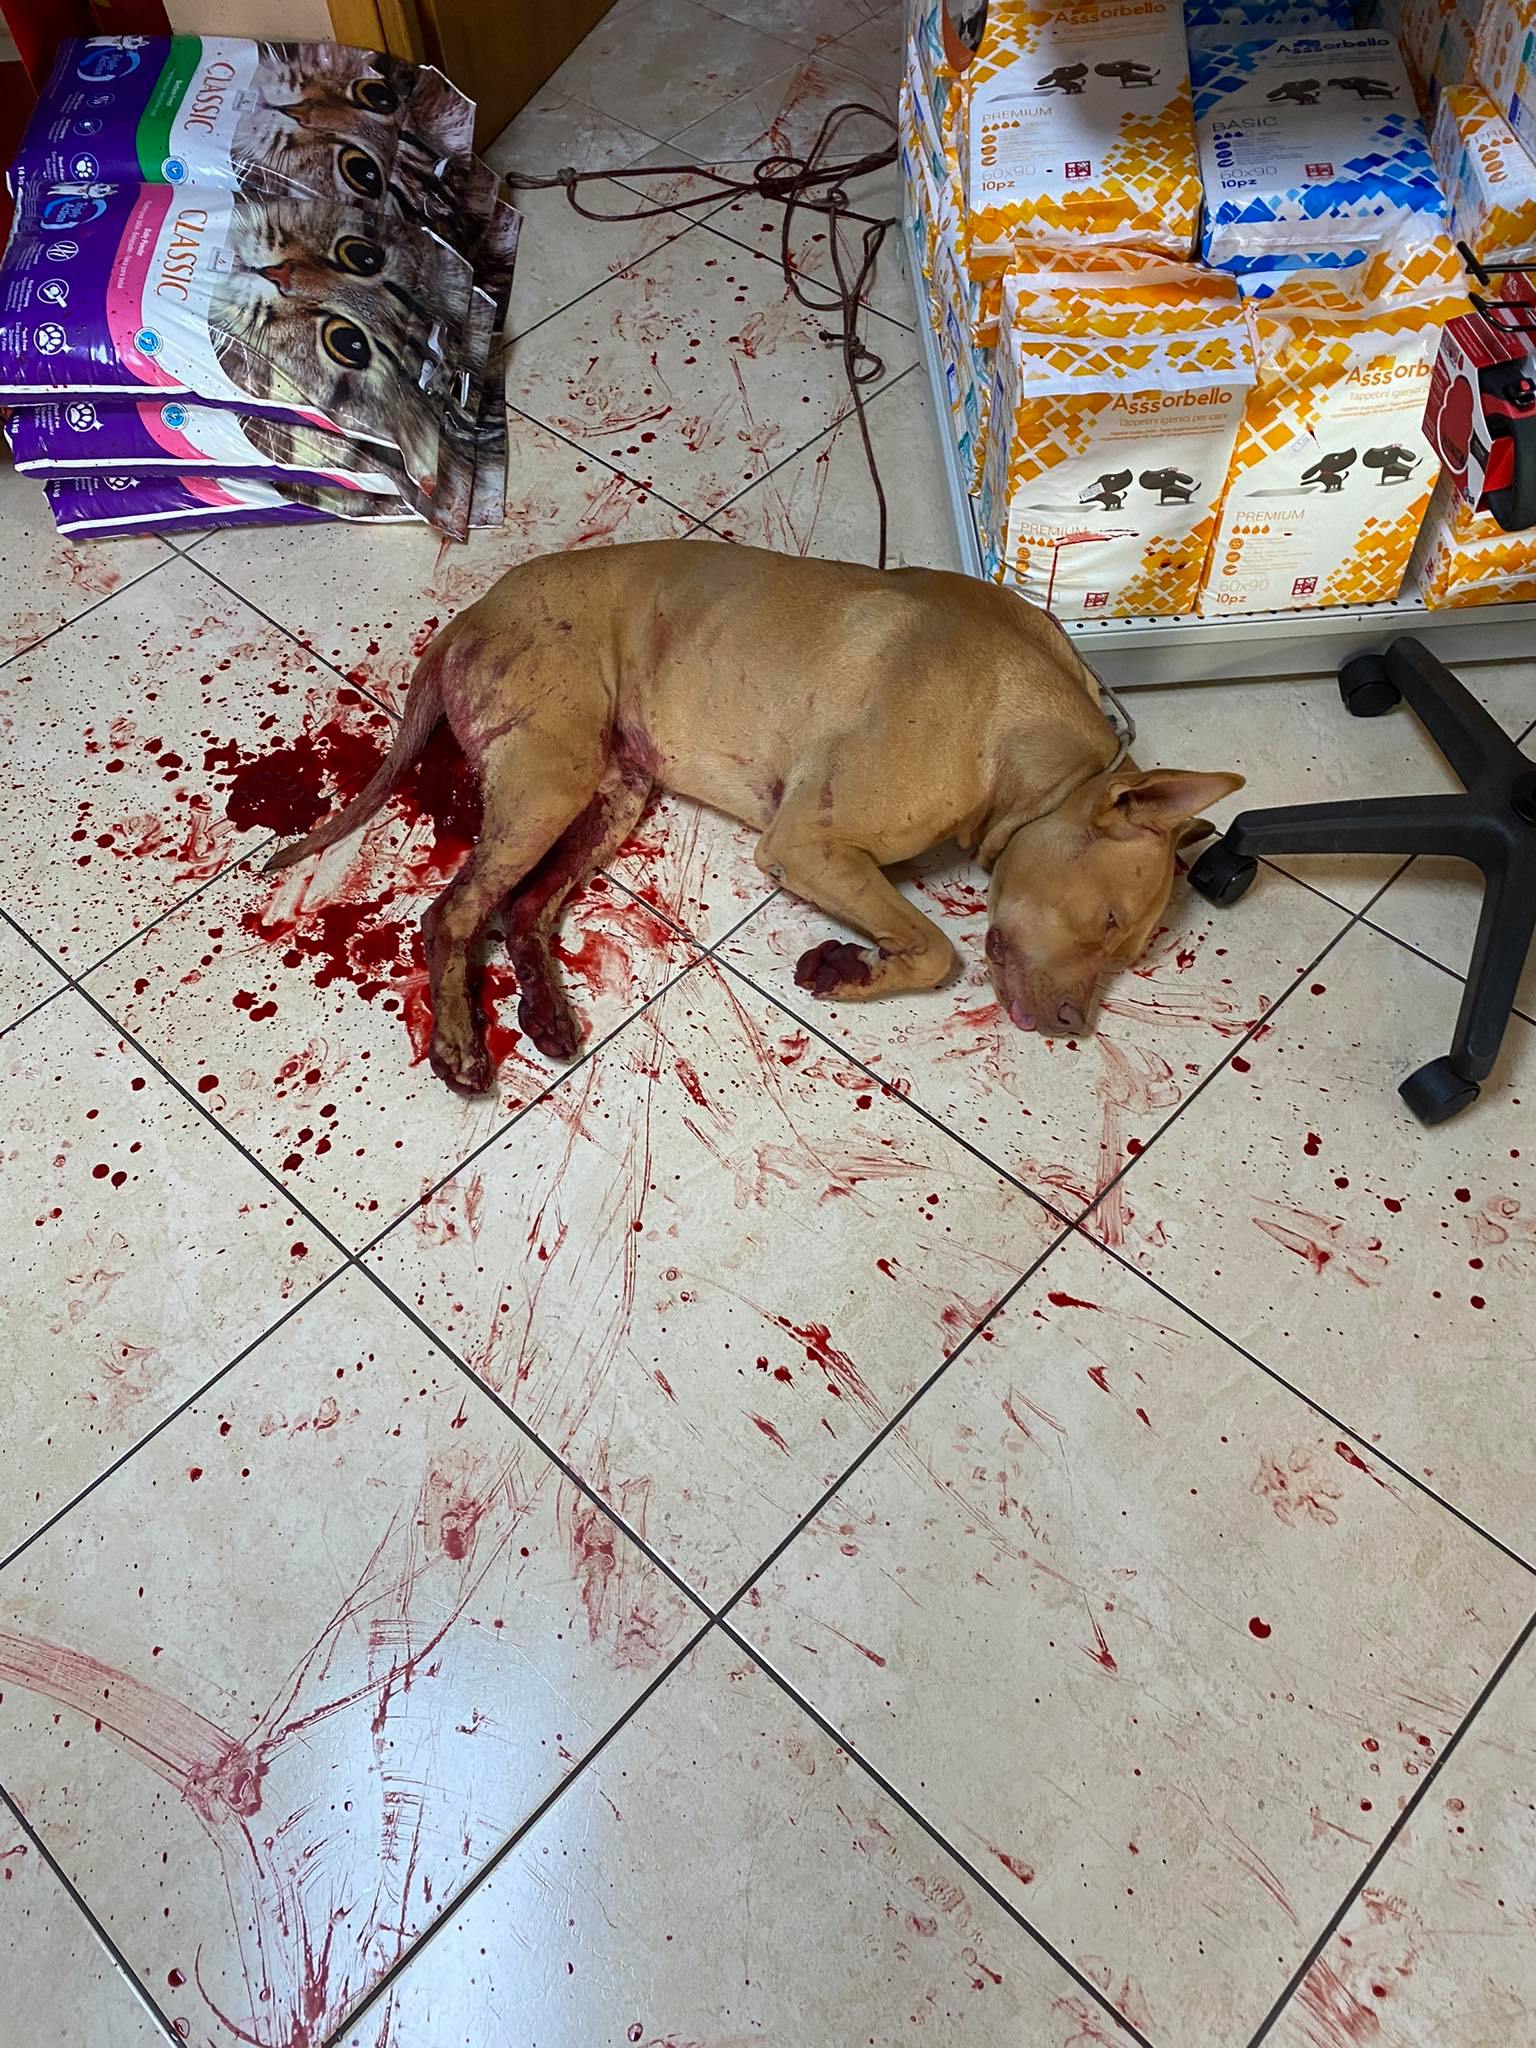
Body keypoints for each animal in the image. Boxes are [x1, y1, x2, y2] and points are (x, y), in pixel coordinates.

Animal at [266, 542, 1242, 1094]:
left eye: (1127, 950)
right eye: (1106, 920)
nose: (1077, 1026)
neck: (1019, 735)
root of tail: (468, 615)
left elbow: (932, 945)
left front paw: (853, 966)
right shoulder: (807, 843)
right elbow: (937, 948)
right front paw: (853, 968)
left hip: (611, 793)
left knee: (524, 908)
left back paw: (543, 1010)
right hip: (550, 783)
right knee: (454, 912)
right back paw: (462, 1045)